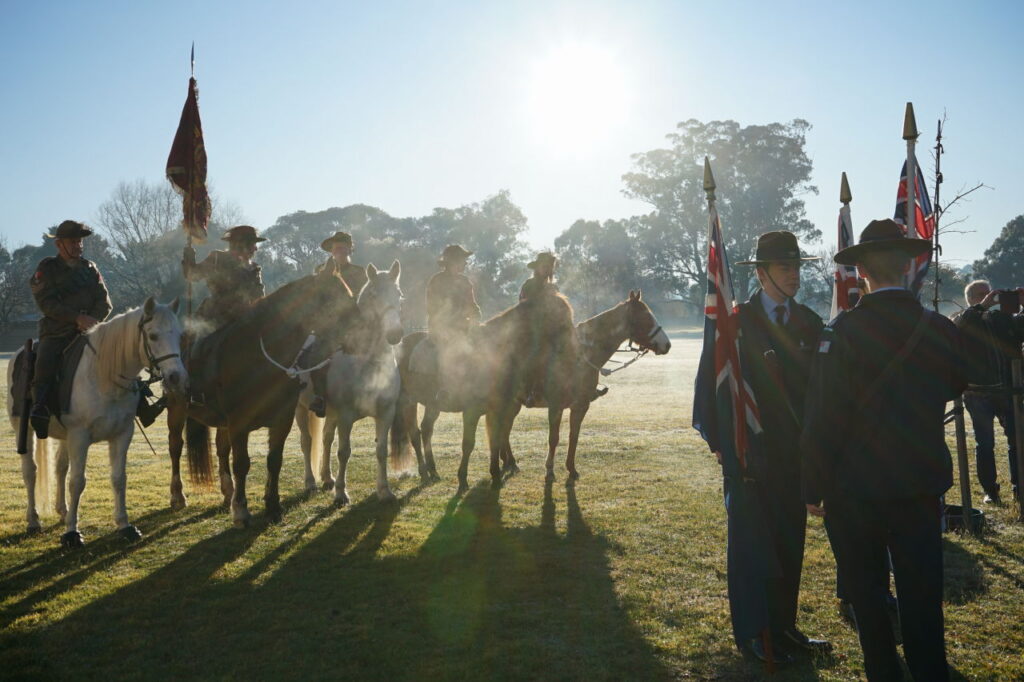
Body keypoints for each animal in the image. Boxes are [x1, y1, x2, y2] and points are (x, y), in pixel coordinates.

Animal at [6, 296, 188, 548]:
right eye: (153, 336)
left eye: (179, 335)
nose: (177, 378)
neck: (104, 377)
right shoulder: (80, 437)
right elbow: (77, 482)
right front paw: (72, 533)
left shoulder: (122, 435)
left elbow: (118, 478)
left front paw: (125, 526)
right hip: (24, 429)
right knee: (30, 472)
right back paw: (33, 521)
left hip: (65, 437)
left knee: (60, 467)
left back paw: (63, 511)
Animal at [167, 268, 360, 522]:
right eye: (333, 297)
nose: (362, 333)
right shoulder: (239, 424)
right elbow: (241, 463)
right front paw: (241, 510)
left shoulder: (281, 421)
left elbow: (274, 461)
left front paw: (272, 504)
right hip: (177, 410)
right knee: (175, 447)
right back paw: (178, 496)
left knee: (221, 449)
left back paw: (227, 492)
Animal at [292, 260, 411, 503]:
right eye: (374, 295)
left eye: (399, 294)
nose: (394, 334)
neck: (368, 363)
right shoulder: (346, 416)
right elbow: (344, 452)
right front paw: (341, 493)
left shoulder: (385, 413)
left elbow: (381, 451)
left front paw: (384, 490)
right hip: (301, 408)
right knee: (307, 442)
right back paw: (311, 482)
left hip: (331, 414)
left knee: (326, 438)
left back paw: (327, 478)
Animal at [395, 290, 581, 489]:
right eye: (561, 320)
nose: (573, 353)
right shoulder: (471, 411)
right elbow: (469, 443)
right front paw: (463, 479)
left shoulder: (498, 410)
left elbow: (496, 441)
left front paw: (496, 475)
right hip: (408, 401)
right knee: (415, 434)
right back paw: (424, 473)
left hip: (432, 404)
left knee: (426, 429)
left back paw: (433, 471)